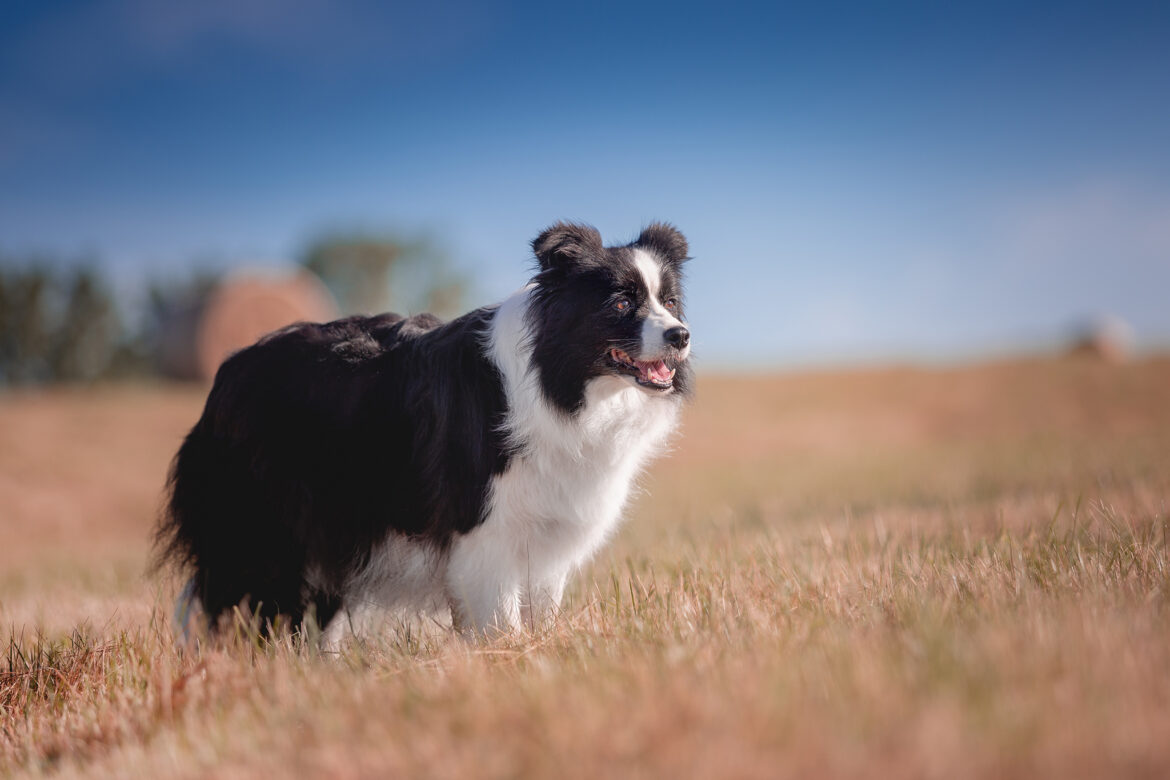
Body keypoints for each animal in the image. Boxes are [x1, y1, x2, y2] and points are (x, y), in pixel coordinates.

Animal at [154, 222, 683, 645]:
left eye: (671, 301)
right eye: (621, 302)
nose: (682, 334)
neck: (560, 383)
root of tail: (226, 376)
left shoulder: (547, 527)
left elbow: (541, 610)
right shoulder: (483, 528)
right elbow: (500, 619)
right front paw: (508, 660)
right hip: (265, 526)